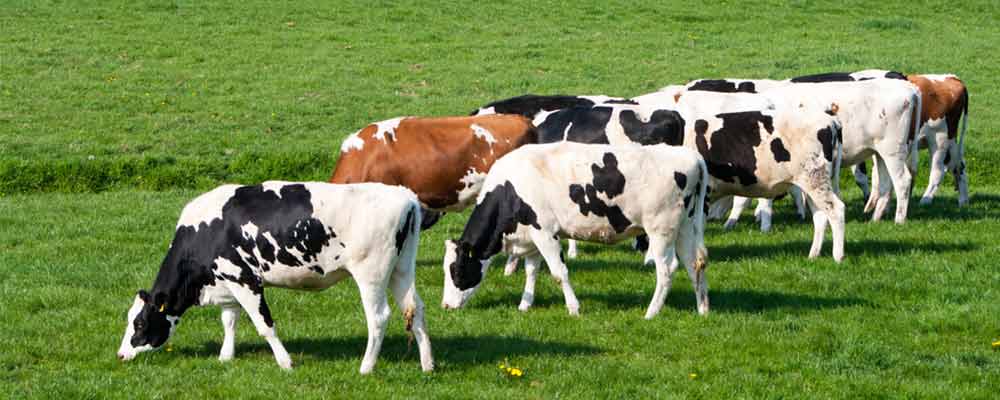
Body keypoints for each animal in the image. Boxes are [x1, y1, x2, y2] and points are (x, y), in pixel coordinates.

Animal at [117, 182, 433, 374]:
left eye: (139, 322)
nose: (120, 354)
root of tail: (405, 196)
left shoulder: (246, 281)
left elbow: (264, 325)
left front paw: (285, 362)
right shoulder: (227, 281)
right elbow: (229, 320)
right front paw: (225, 356)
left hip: (371, 274)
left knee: (378, 317)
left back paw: (366, 367)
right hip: (401, 270)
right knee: (415, 309)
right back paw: (428, 364)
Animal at [440, 142, 709, 319]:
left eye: (457, 270)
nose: (445, 306)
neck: (510, 188)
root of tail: (690, 155)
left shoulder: (545, 232)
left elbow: (559, 273)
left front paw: (573, 308)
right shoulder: (531, 237)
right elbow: (531, 271)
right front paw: (525, 305)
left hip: (660, 230)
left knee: (667, 269)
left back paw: (651, 312)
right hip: (685, 227)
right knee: (695, 262)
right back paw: (702, 309)